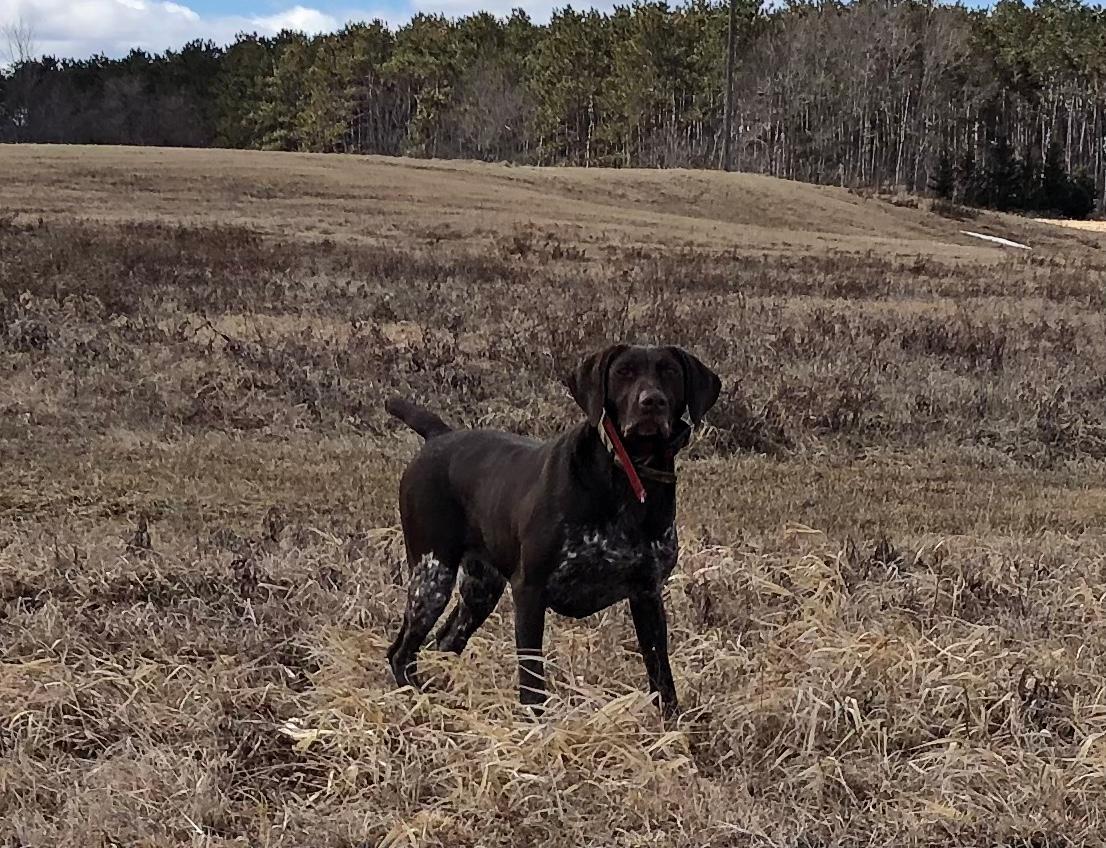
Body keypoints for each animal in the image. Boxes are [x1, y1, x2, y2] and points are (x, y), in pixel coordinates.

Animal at [384, 344, 721, 716]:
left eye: (670, 372)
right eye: (624, 372)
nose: (652, 402)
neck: (626, 475)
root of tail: (440, 435)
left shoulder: (647, 594)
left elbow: (662, 677)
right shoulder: (530, 591)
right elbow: (532, 682)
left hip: (480, 588)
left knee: (442, 643)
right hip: (432, 577)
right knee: (401, 653)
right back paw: (417, 700)